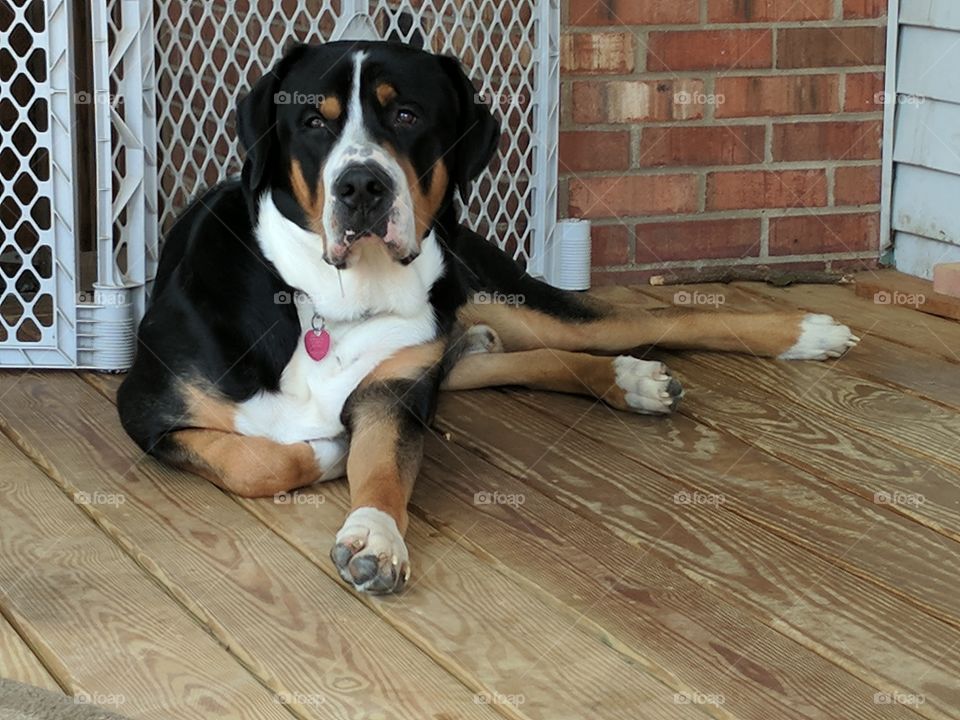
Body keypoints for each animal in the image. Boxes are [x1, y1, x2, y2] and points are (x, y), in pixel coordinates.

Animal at [116, 40, 860, 596]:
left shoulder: (396, 394)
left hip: (501, 295)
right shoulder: (145, 406)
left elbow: (380, 470)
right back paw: (630, 379)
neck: (328, 301)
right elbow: (262, 462)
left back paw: (800, 335)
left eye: (407, 115)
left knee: (639, 321)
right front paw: (326, 458)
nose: (362, 186)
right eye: (314, 123)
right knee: (506, 358)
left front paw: (375, 532)